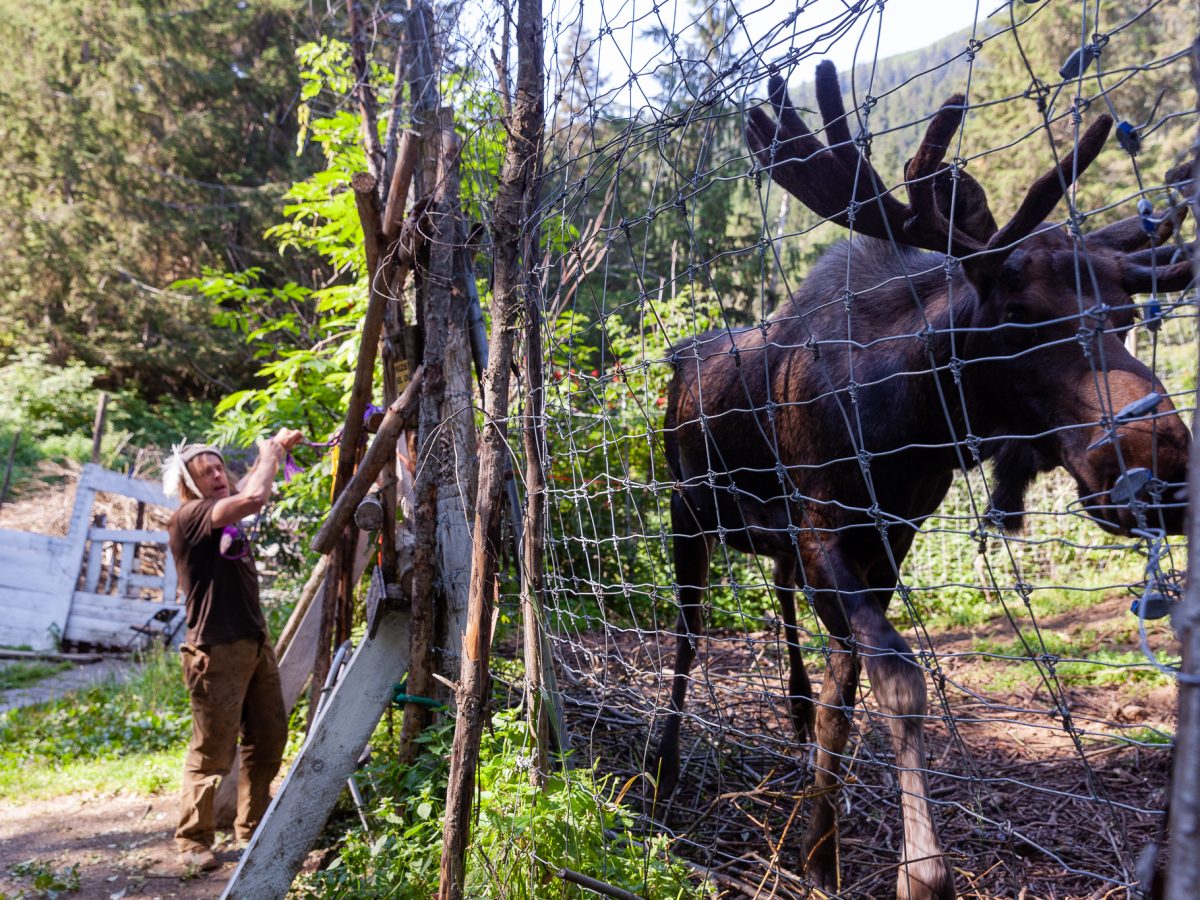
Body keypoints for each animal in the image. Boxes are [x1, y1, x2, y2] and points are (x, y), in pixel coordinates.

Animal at [654, 62, 1194, 899]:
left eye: (1126, 314)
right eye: (1014, 311)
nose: (1162, 464)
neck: (916, 419)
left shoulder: (891, 537)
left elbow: (846, 693)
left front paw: (821, 856)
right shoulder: (823, 525)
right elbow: (900, 681)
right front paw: (922, 870)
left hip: (772, 544)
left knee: (782, 613)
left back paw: (790, 719)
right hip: (688, 511)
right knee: (684, 638)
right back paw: (662, 779)